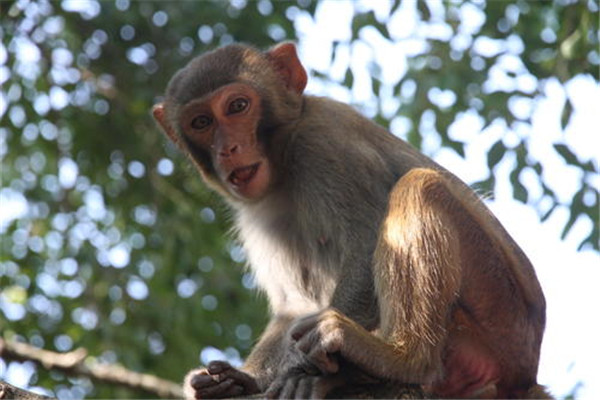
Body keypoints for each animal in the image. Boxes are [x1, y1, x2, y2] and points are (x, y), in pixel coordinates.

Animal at [151, 42, 548, 398]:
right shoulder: (255, 210)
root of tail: (527, 373)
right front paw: (239, 381)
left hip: (501, 312)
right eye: (201, 122)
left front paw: (298, 370)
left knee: (419, 187)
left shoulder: (325, 145)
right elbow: (293, 307)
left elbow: (365, 244)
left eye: (237, 106)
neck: (284, 158)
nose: (228, 149)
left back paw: (401, 358)